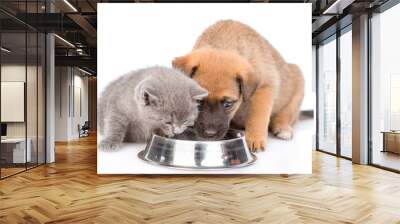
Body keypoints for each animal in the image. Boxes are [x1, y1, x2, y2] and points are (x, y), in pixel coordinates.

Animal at [172, 20, 304, 151]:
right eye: (198, 101)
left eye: (228, 104)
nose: (210, 134)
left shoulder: (265, 88)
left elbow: (257, 116)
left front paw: (255, 139)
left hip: (296, 94)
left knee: (285, 115)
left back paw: (283, 128)